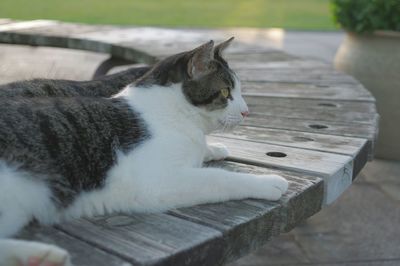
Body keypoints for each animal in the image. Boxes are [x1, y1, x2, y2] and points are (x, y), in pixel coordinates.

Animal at [0, 38, 288, 266]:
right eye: (226, 92)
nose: (246, 111)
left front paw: (212, 148)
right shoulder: (156, 182)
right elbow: (218, 178)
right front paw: (270, 182)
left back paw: (39, 257)